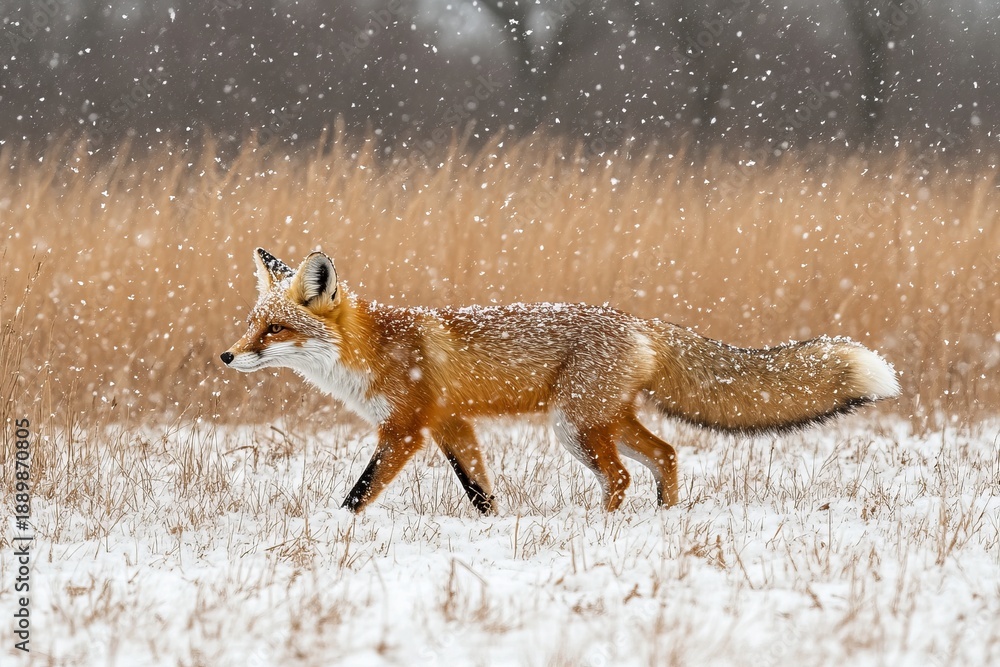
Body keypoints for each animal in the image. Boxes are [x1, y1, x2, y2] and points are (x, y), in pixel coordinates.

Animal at [221, 248, 900, 514]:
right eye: (252, 325)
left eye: (275, 330)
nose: (227, 357)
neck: (371, 351)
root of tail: (640, 321)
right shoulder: (451, 424)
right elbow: (480, 491)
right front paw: (493, 528)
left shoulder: (407, 428)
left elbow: (359, 493)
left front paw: (336, 529)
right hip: (600, 420)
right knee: (666, 454)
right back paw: (664, 521)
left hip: (574, 426)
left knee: (623, 474)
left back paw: (603, 529)